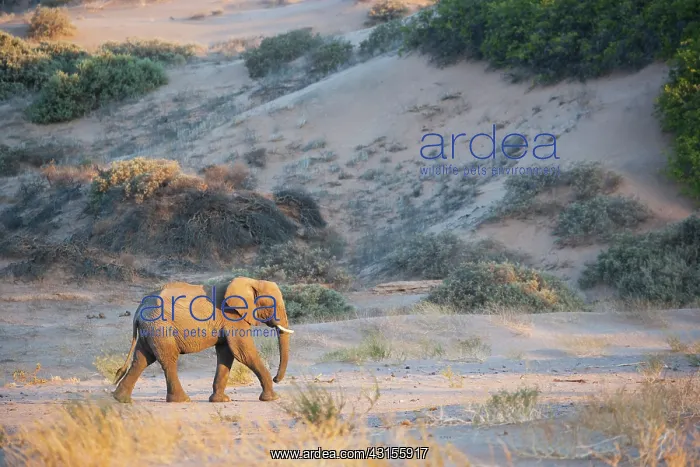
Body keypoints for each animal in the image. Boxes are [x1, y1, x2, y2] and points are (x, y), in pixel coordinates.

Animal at [112, 276, 294, 404]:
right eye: (273, 305)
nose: (276, 378)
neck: (251, 282)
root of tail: (138, 309)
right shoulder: (232, 316)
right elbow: (243, 352)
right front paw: (273, 398)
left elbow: (226, 354)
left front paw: (220, 401)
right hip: (159, 327)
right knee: (168, 359)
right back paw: (182, 400)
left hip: (149, 329)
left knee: (142, 359)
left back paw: (120, 399)